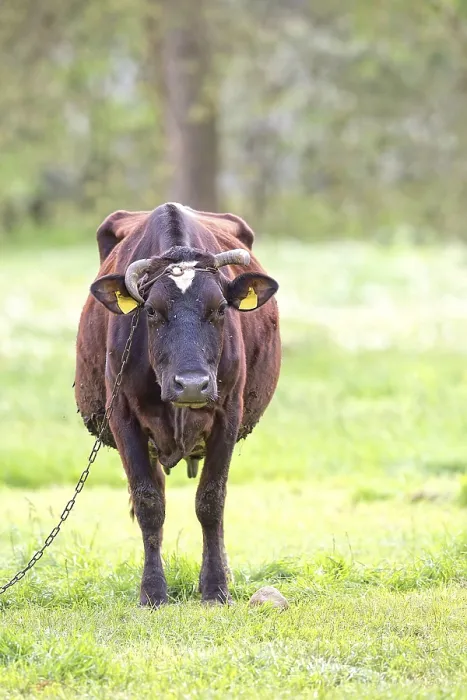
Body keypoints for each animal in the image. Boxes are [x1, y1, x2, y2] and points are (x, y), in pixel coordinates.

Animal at [75, 202, 281, 606]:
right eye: (152, 311)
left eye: (220, 309)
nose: (192, 384)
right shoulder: (123, 417)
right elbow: (149, 503)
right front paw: (153, 590)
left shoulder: (228, 413)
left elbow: (211, 501)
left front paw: (215, 586)